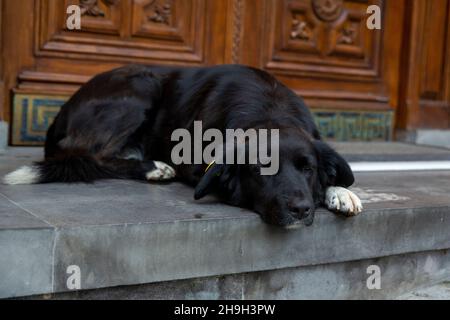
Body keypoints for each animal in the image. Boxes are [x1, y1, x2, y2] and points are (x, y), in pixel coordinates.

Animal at [3, 63, 362, 226]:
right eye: (262, 169)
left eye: (308, 169)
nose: (300, 210)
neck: (269, 109)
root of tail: (57, 117)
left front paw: (340, 192)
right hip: (142, 87)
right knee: (91, 155)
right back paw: (153, 167)